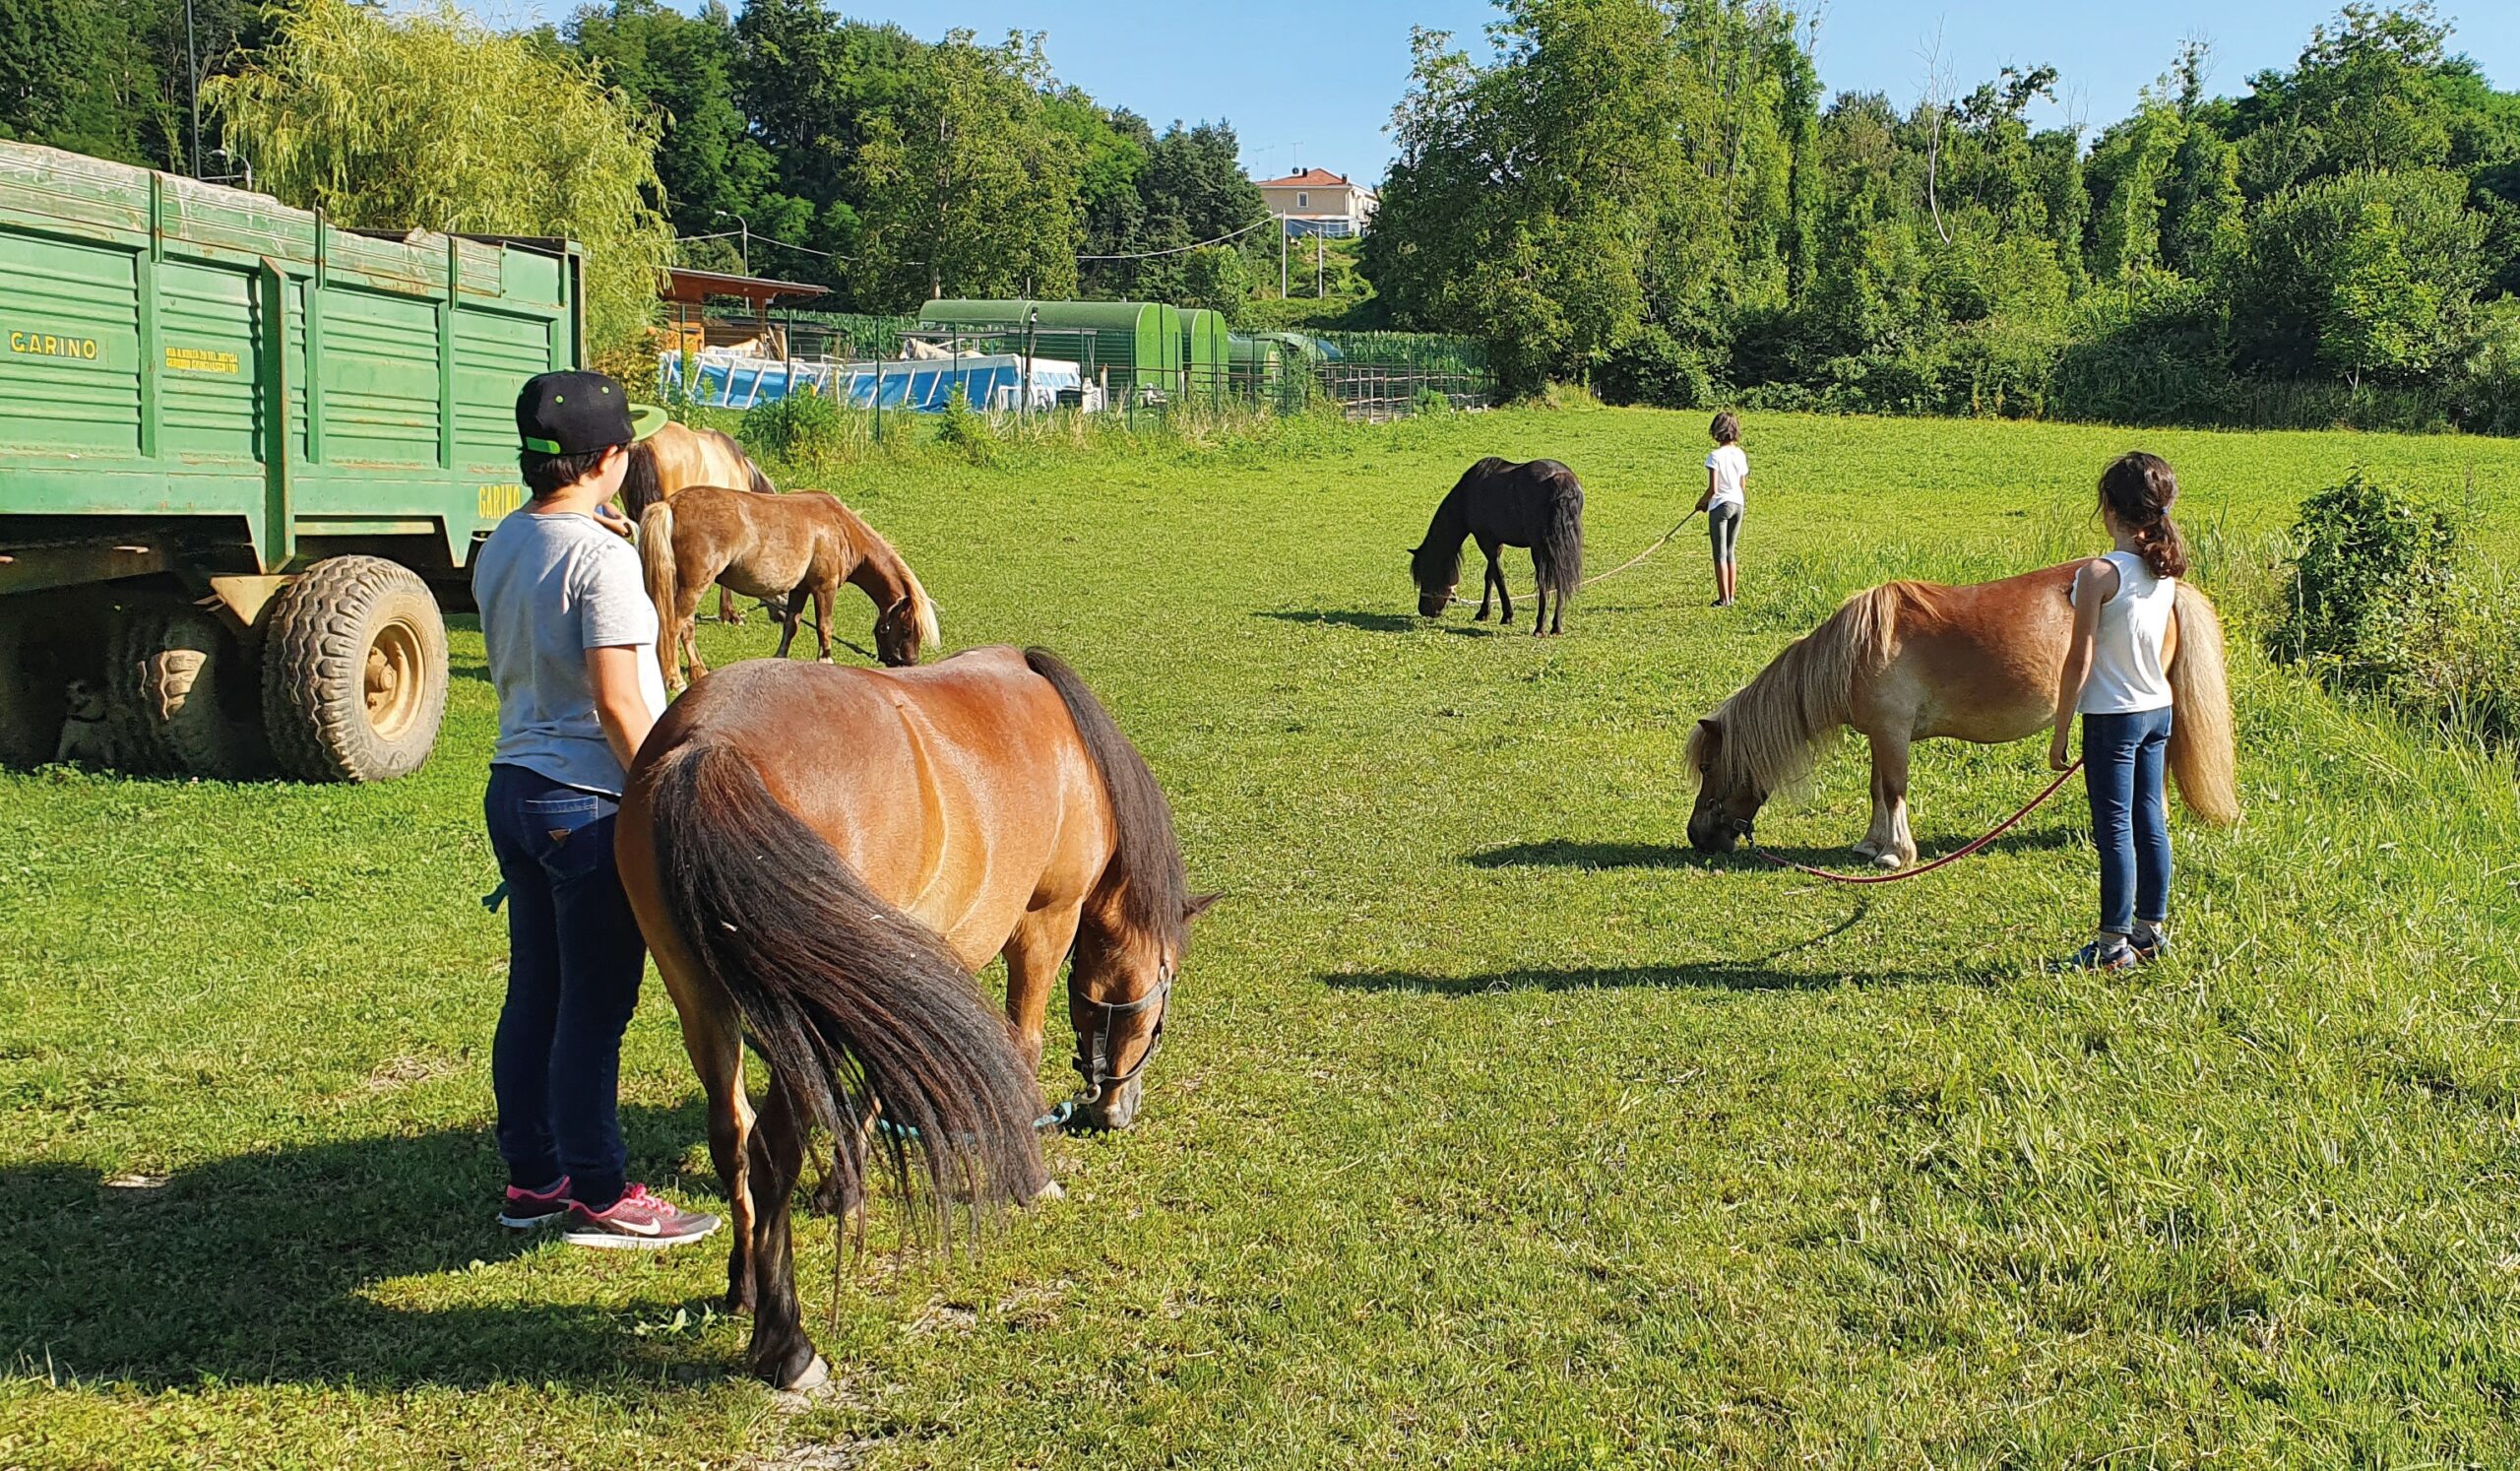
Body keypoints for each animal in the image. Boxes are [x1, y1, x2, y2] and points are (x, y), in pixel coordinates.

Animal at [604, 650, 1204, 1390]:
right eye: (1160, 1002)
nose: (1117, 1110)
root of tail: (710, 744)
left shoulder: (887, 977)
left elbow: (876, 1091)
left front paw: (843, 1190)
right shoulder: (1044, 922)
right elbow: (1020, 1048)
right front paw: (1031, 1176)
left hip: (702, 998)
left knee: (733, 1137)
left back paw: (744, 1285)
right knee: (771, 1150)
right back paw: (786, 1344)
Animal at [640, 483, 937, 689]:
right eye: (907, 630)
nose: (911, 666)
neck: (838, 527)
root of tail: (670, 504)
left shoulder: (800, 589)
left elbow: (790, 626)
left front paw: (779, 660)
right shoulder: (824, 588)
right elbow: (824, 627)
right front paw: (826, 660)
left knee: (687, 627)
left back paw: (698, 671)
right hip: (694, 586)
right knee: (673, 626)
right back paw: (675, 679)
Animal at [1411, 450, 1582, 629]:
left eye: (1426, 575)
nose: (1424, 610)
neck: (1468, 495)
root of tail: (1560, 478)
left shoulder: (1486, 541)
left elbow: (1498, 577)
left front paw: (1507, 615)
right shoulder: (1496, 544)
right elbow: (1490, 576)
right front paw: (1483, 613)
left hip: (1539, 548)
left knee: (1544, 582)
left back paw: (1540, 627)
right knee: (1561, 578)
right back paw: (1556, 626)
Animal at [1683, 558, 2237, 861]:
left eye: (1709, 766)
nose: (1697, 837)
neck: (1857, 650)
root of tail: (2168, 590)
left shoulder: (1892, 732)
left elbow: (1894, 789)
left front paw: (1895, 854)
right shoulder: (1881, 735)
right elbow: (1877, 790)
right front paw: (1870, 845)